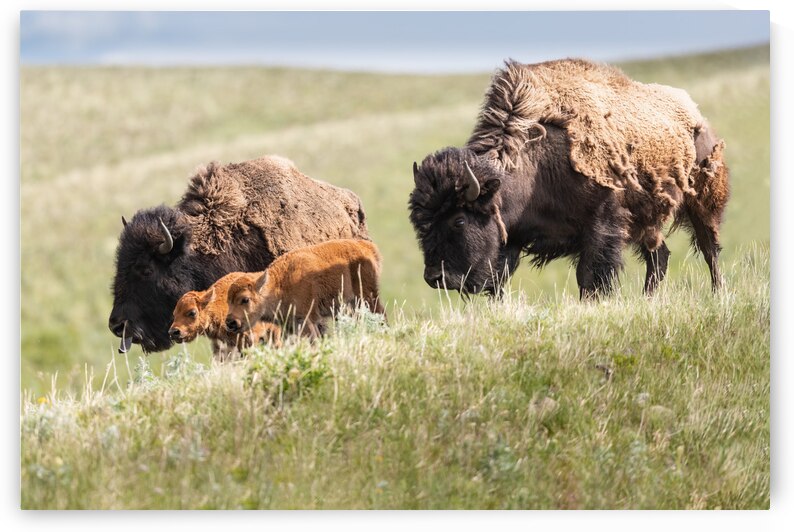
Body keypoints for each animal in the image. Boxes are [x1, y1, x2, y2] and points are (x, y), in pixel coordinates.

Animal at [225, 239, 384, 339]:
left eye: (245, 299)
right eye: (228, 301)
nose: (230, 322)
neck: (280, 283)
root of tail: (366, 246)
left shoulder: (306, 319)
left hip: (368, 298)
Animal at [408, 59, 730, 299]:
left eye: (459, 220)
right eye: (421, 222)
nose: (435, 277)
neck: (535, 167)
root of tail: (697, 117)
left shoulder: (601, 226)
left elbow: (589, 276)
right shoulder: (512, 237)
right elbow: (500, 280)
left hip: (702, 204)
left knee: (709, 249)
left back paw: (718, 294)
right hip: (646, 224)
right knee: (659, 256)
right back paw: (648, 299)